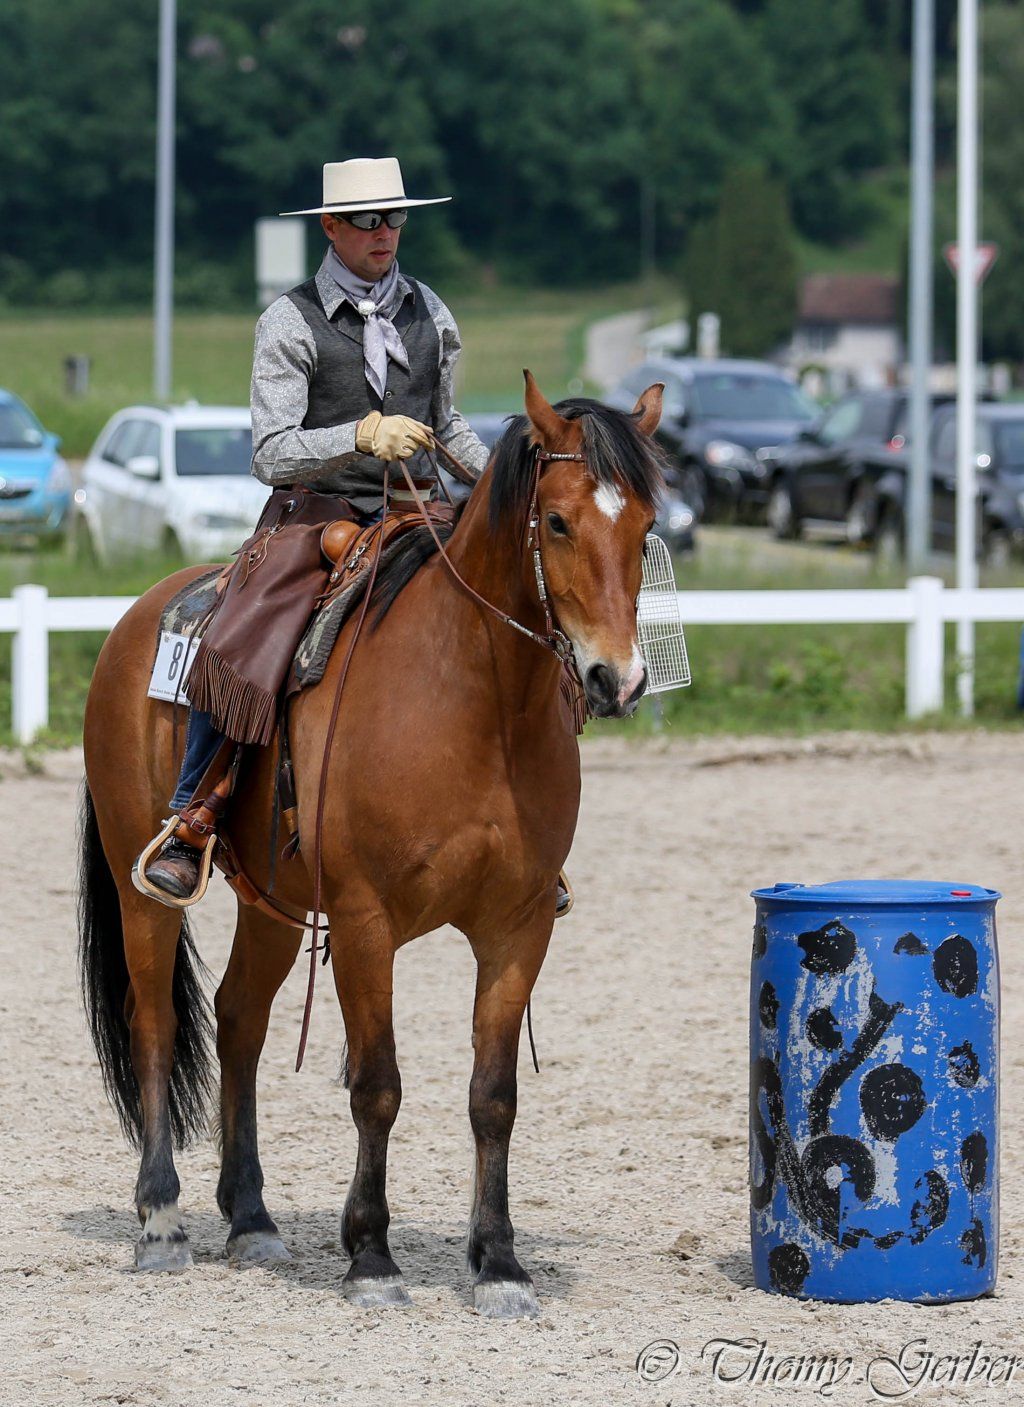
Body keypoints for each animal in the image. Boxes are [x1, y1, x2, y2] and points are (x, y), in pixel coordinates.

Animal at [78, 372, 664, 1318]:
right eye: (558, 520)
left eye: (645, 526)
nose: (618, 679)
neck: (472, 696)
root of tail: (140, 617)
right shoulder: (364, 923)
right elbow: (377, 1085)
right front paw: (373, 1257)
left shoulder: (519, 925)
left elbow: (493, 1096)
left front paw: (499, 1263)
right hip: (146, 890)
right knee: (157, 1023)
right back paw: (162, 1220)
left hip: (272, 904)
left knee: (239, 1020)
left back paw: (251, 1217)